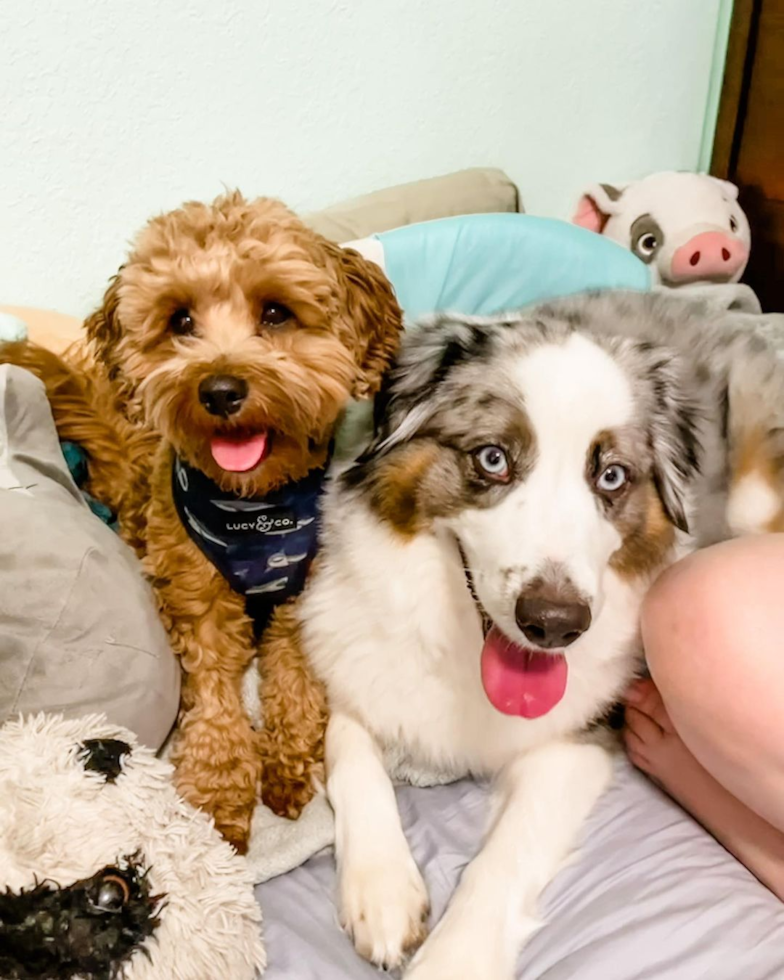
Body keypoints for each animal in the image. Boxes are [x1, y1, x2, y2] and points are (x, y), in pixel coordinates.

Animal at [1, 191, 404, 848]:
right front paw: (218, 794)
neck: (255, 509)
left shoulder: (304, 596)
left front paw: (288, 762)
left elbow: (295, 680)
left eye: (276, 312)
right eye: (181, 321)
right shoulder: (199, 601)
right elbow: (215, 699)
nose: (218, 390)